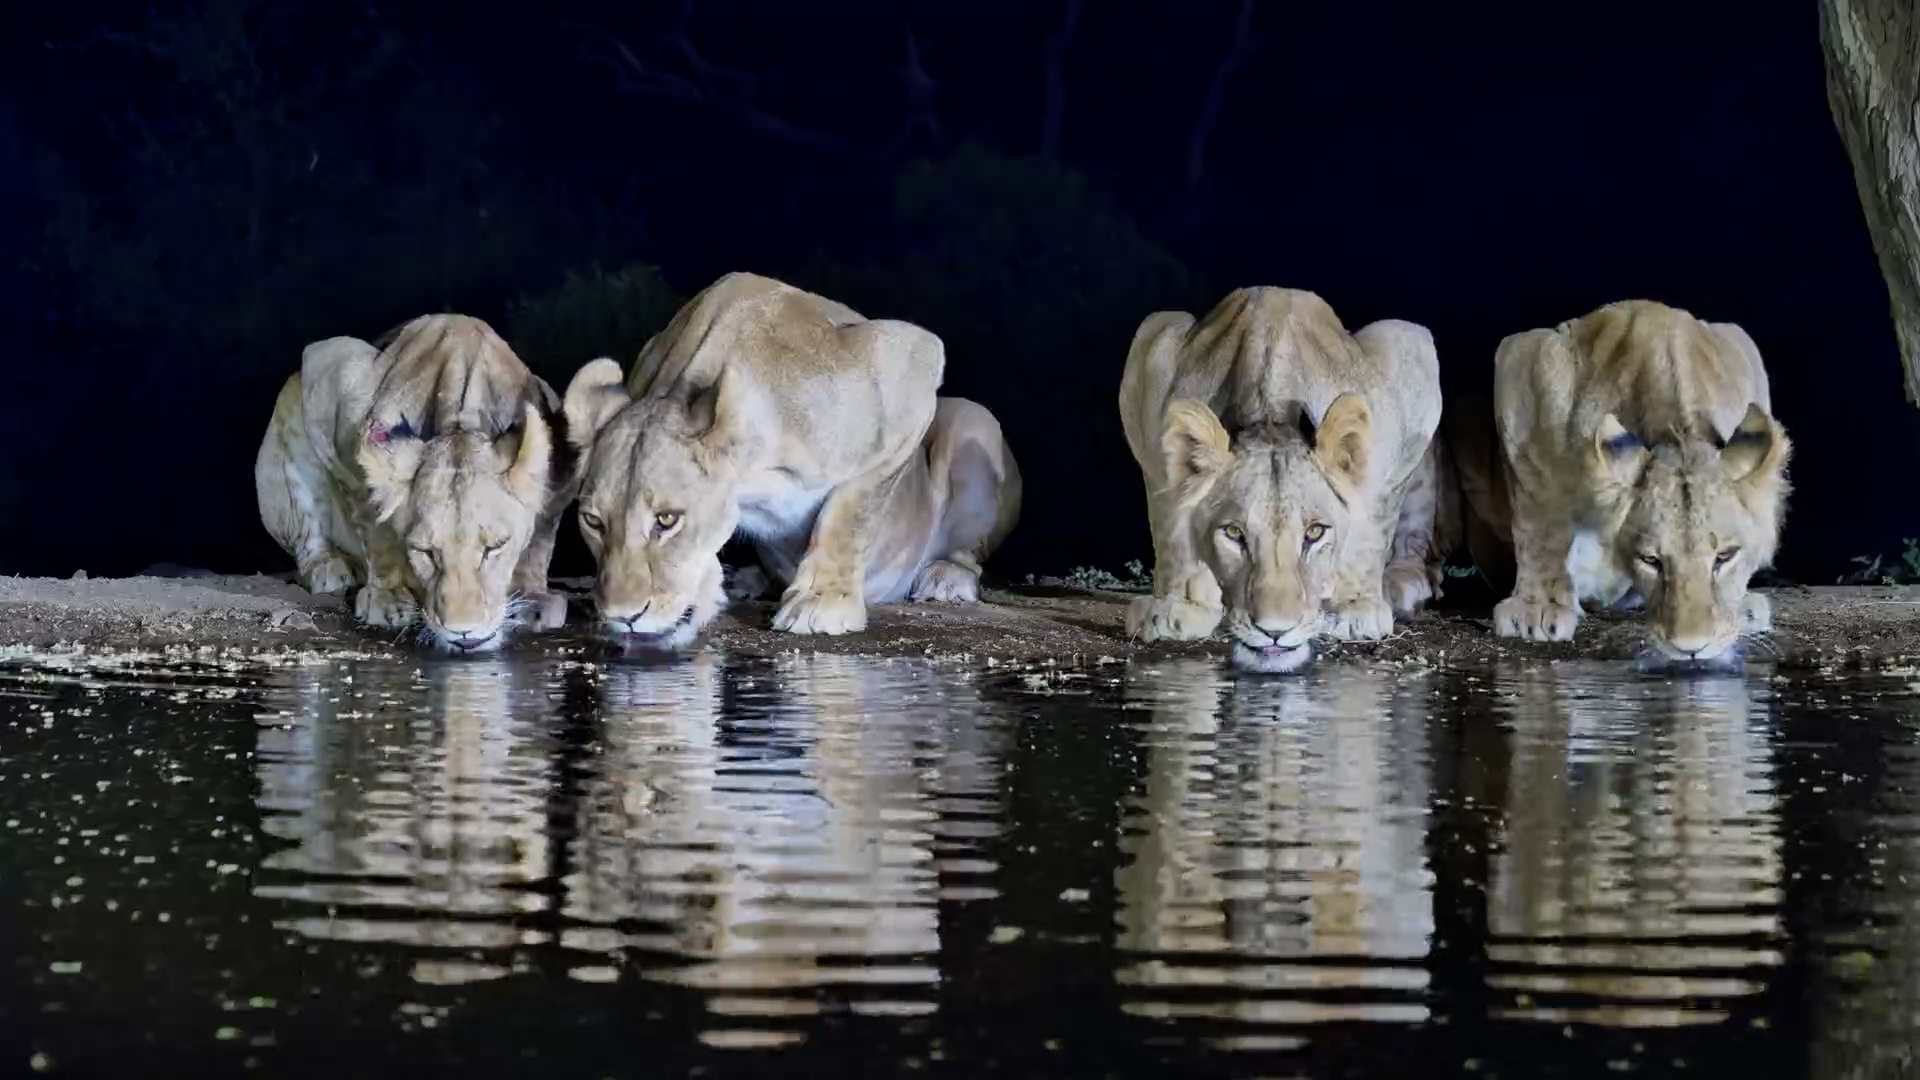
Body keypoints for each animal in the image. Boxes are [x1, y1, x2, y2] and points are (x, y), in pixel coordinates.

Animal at [254, 314, 582, 653]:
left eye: (495, 547)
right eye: (425, 552)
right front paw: (386, 595)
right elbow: (372, 519)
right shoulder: (335, 380)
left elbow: (541, 534)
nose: (464, 634)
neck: (461, 420)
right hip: (289, 411)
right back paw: (329, 566)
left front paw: (533, 597)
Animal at [562, 271, 1022, 648]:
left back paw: (946, 577)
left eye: (667, 520)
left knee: (967, 551)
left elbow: (850, 511)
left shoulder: (911, 359)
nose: (622, 617)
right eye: (593, 522)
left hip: (972, 418)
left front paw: (822, 602)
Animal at [1118, 287, 1446, 674]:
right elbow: (1172, 521)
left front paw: (1355, 609)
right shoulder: (1154, 370)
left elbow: (1375, 519)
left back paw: (1403, 583)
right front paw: (1179, 606)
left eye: (1314, 533)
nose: (1275, 631)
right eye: (1234, 533)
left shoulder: (1403, 370)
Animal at [1485, 299, 1791, 666]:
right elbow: (1538, 517)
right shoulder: (1524, 359)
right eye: (1651, 561)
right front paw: (1538, 610)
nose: (1691, 649)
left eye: (1725, 557)